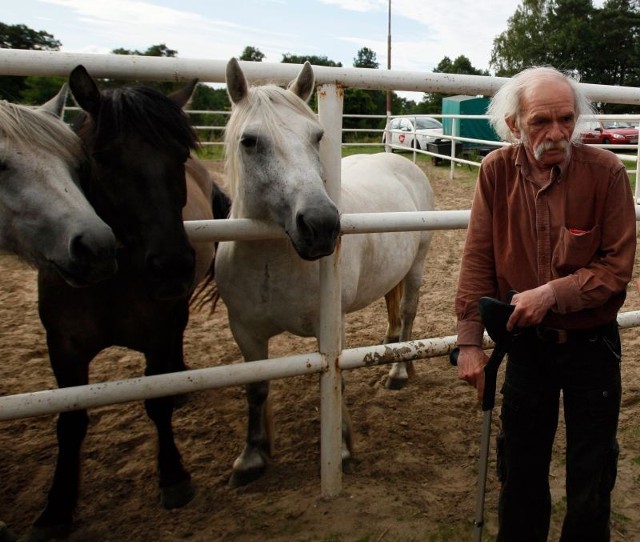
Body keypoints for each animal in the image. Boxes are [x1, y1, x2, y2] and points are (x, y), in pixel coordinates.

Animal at [30, 67, 230, 542]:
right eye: (102, 158)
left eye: (179, 155)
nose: (172, 263)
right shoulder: (63, 347)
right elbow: (70, 422)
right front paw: (56, 509)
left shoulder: (158, 331)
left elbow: (156, 402)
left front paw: (174, 477)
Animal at [216, 59, 436, 488]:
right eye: (249, 141)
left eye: (317, 136)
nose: (320, 224)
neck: (270, 262)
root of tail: (400, 161)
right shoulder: (244, 331)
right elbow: (256, 387)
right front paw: (251, 457)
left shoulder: (329, 326)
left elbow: (337, 379)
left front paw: (344, 449)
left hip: (417, 265)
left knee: (407, 314)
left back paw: (399, 369)